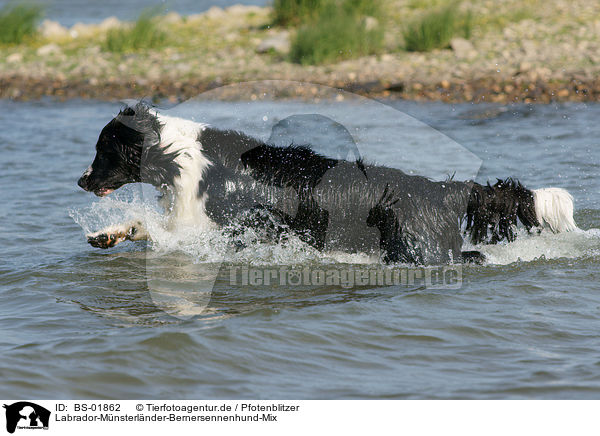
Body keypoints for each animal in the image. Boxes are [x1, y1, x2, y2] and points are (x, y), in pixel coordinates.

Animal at [76, 104, 576, 264]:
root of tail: (438, 190)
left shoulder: (200, 226)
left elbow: (160, 230)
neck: (174, 153)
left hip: (416, 249)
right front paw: (108, 234)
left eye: (102, 150)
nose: (81, 180)